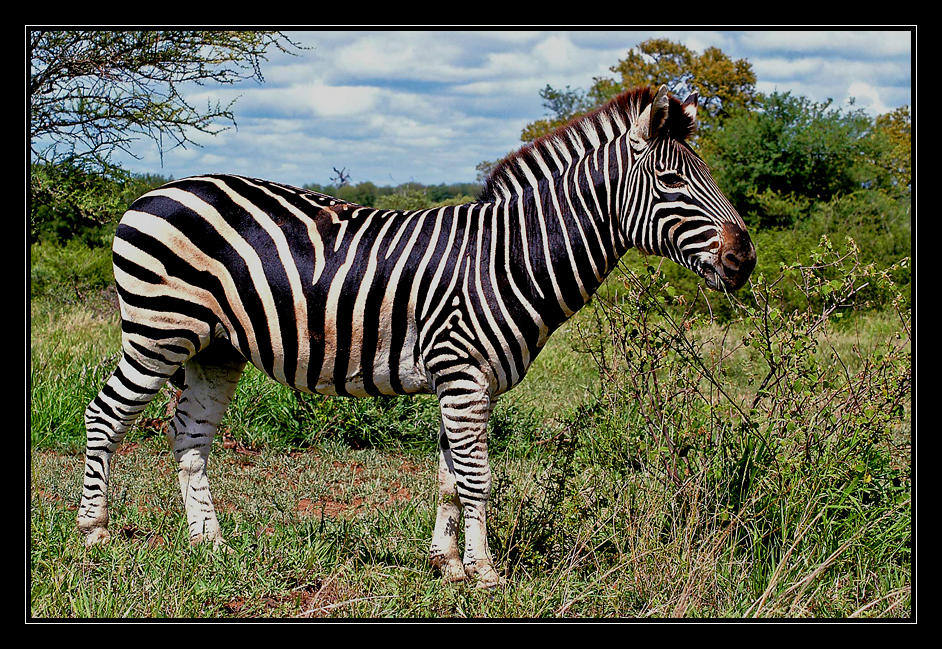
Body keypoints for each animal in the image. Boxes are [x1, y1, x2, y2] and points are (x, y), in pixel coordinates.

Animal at [77, 85, 756, 588]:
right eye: (672, 182)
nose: (744, 259)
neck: (508, 256)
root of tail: (151, 192)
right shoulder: (462, 370)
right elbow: (478, 477)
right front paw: (486, 574)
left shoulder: (464, 379)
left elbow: (451, 476)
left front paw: (449, 564)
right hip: (158, 329)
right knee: (104, 415)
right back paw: (95, 533)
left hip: (213, 346)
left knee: (189, 436)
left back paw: (210, 544)